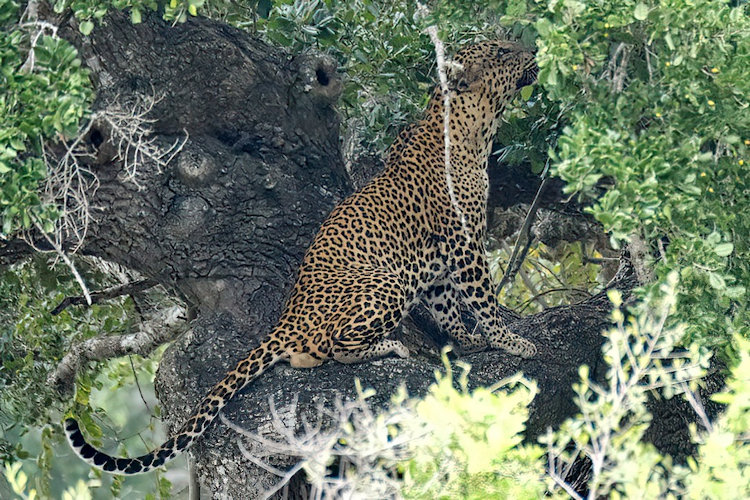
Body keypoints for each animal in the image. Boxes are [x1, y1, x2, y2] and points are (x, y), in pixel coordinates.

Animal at [65, 40, 539, 474]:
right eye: (501, 52)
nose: (532, 49)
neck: (476, 128)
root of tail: (287, 318)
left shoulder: (442, 252)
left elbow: (448, 305)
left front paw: (467, 340)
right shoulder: (464, 240)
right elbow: (482, 298)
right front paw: (510, 341)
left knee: (308, 354)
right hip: (385, 282)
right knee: (333, 346)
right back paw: (390, 346)